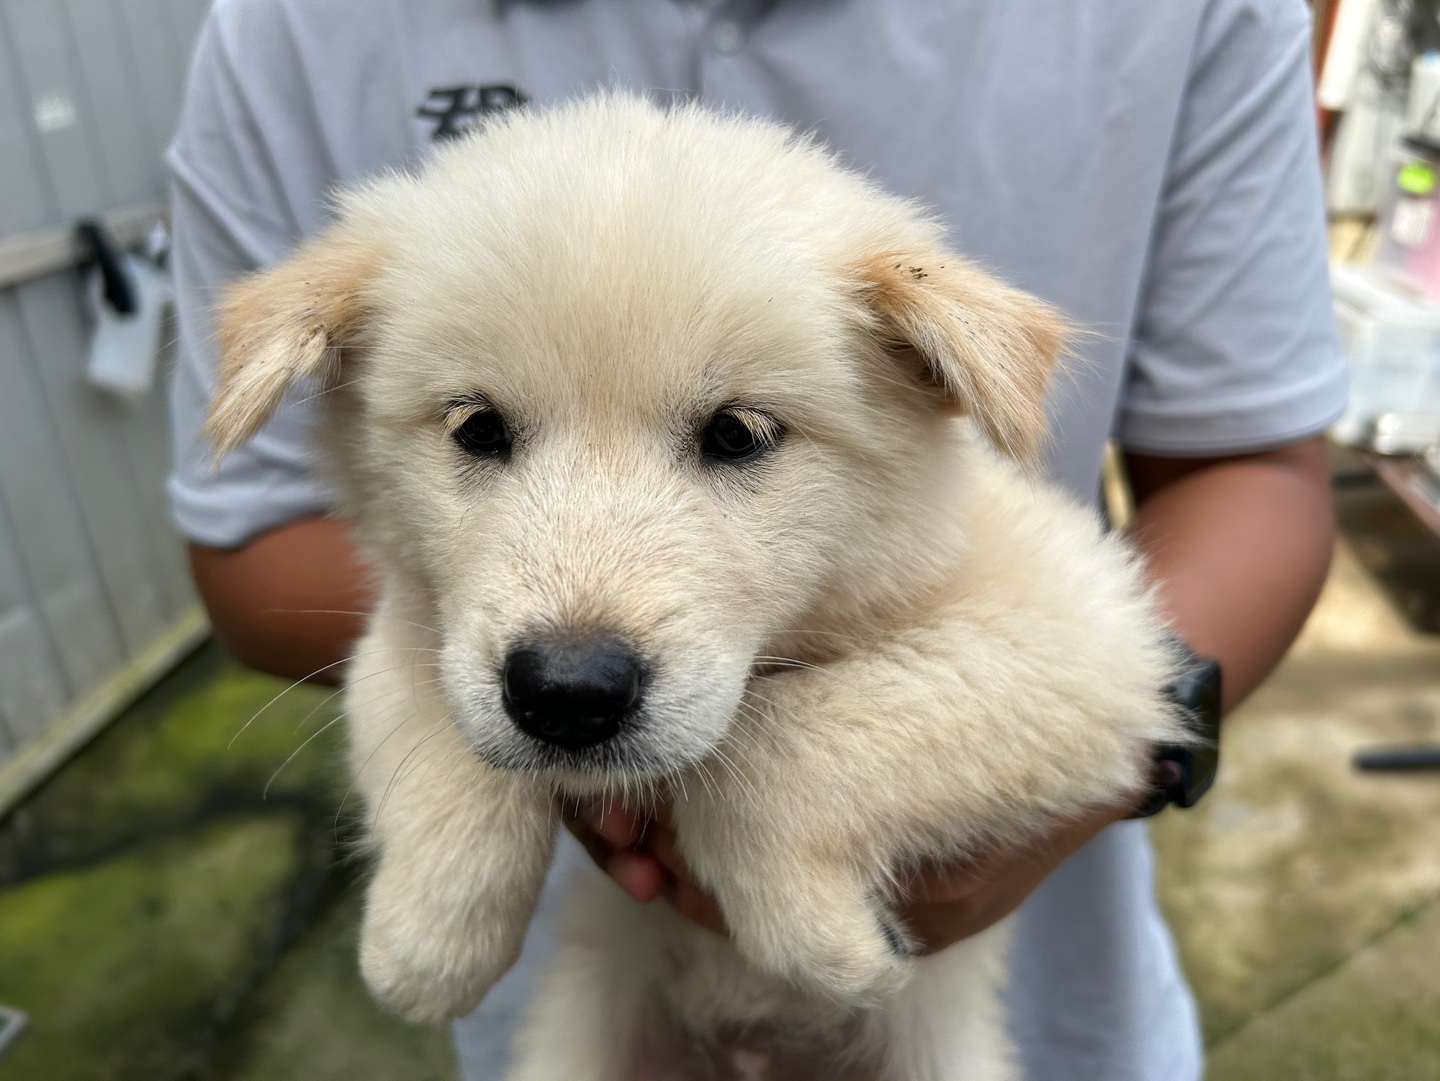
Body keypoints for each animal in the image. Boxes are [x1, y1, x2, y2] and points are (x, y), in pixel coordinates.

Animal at [210, 95, 1180, 1081]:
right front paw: (427, 937)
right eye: (477, 428)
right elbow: (428, 714)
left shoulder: (1086, 628)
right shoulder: (421, 613)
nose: (567, 694)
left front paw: (821, 939)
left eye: (738, 434)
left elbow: (792, 737)